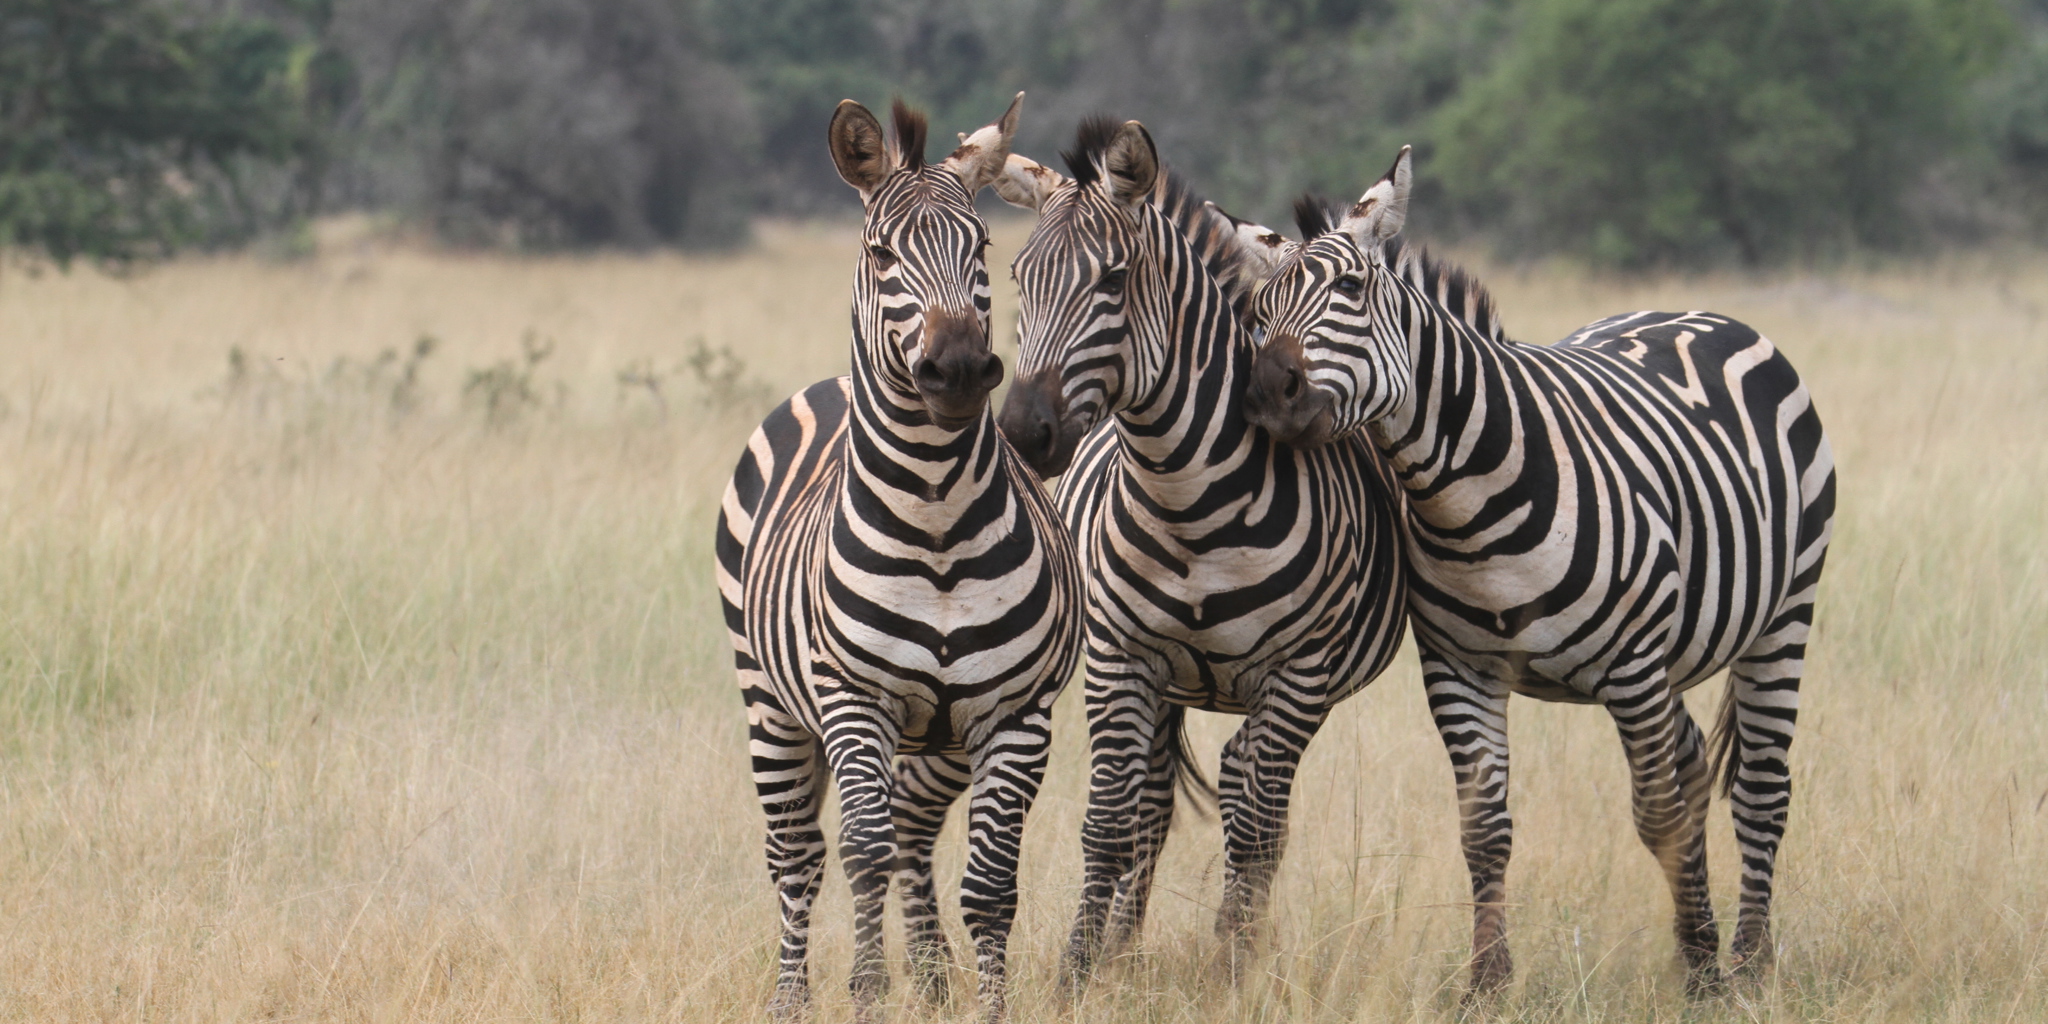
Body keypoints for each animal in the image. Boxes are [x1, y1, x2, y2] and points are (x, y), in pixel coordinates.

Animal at [714, 94, 1082, 1024]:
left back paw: (934, 973)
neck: (938, 519)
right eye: (882, 253)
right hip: (770, 700)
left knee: (914, 832)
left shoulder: (1015, 715)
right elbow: (862, 853)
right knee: (800, 855)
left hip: (938, 735)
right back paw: (794, 996)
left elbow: (988, 885)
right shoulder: (855, 700)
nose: (957, 370)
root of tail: (830, 383)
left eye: (982, 248)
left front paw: (982, 1004)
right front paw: (869, 992)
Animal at [992, 118, 1409, 982]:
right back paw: (1124, 945)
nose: (1023, 433)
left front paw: (1233, 971)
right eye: (1017, 277)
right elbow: (1109, 823)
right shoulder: (1119, 657)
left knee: (1255, 803)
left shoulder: (1297, 672)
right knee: (1155, 804)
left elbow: (1252, 831)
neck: (1188, 502)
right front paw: (1079, 971)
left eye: (1114, 280)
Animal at [1240, 146, 1836, 995]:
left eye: (1351, 290)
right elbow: (1484, 829)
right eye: (1259, 310)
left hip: (1783, 616)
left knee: (1758, 790)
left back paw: (1749, 961)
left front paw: (1701, 970)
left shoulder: (1633, 666)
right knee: (1695, 765)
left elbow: (1657, 814)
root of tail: (1702, 313)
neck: (1465, 499)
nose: (1265, 391)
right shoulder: (1458, 668)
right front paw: (1486, 981)